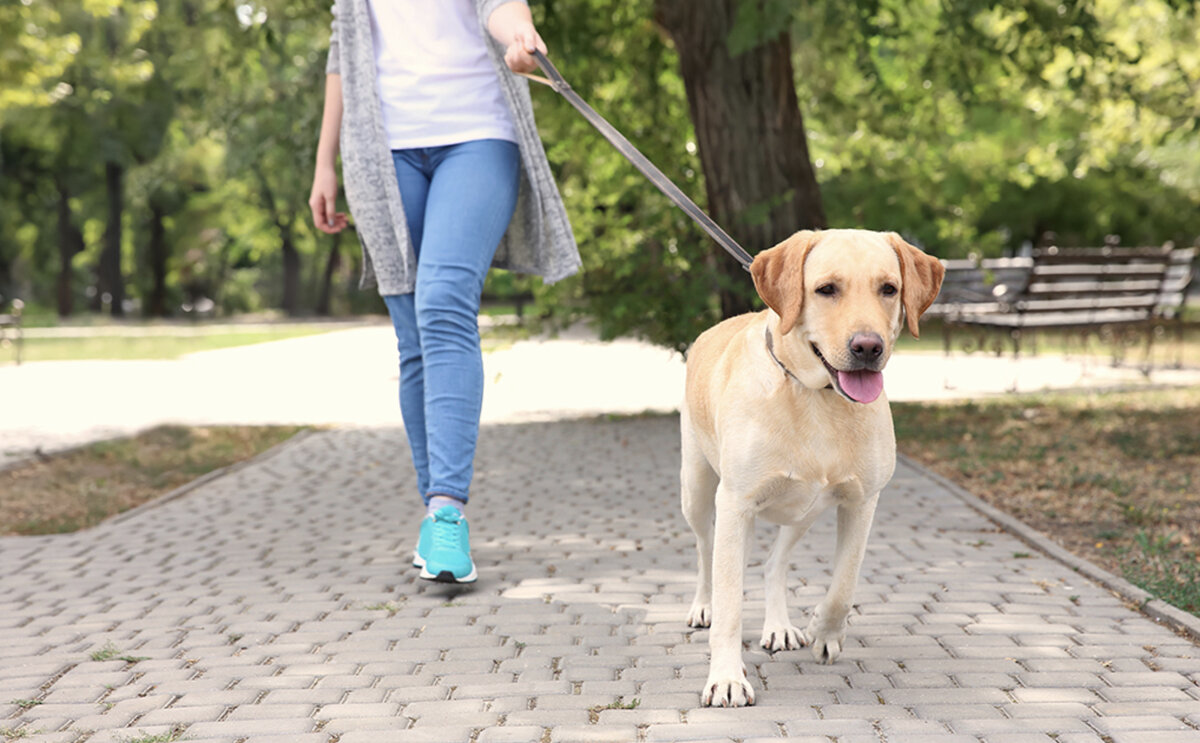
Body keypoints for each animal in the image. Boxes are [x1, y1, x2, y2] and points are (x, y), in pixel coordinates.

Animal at [681, 229, 940, 705]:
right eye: (826, 289)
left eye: (889, 289)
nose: (868, 347)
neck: (816, 396)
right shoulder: (736, 504)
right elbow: (729, 604)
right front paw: (726, 677)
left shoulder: (862, 502)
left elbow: (844, 583)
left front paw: (824, 629)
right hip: (698, 490)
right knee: (706, 551)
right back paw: (703, 605)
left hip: (806, 510)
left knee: (773, 562)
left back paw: (780, 626)